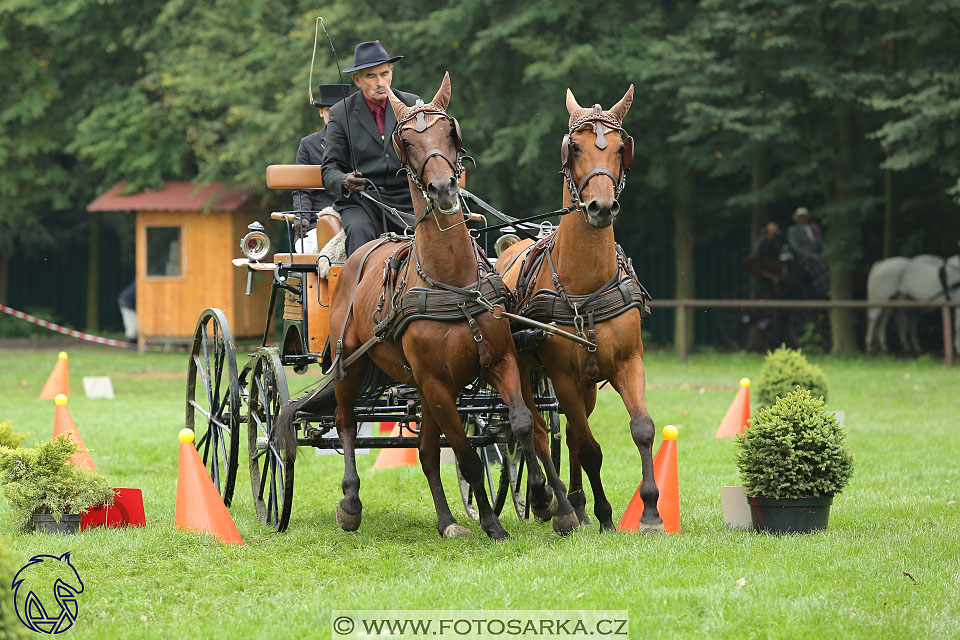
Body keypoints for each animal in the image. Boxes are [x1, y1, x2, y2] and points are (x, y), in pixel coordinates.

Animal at [278, 71, 576, 540]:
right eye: (406, 141)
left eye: (450, 132)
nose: (442, 188)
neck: (453, 283)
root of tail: (363, 253)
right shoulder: (436, 383)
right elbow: (467, 455)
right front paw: (492, 524)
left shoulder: (500, 361)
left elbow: (522, 424)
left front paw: (550, 502)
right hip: (351, 366)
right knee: (345, 424)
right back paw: (351, 503)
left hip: (417, 384)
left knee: (426, 448)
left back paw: (447, 520)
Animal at [498, 87, 664, 532]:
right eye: (574, 146)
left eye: (622, 147)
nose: (601, 207)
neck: (584, 283)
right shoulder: (563, 376)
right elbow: (588, 448)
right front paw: (600, 512)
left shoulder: (628, 361)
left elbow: (642, 429)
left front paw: (650, 512)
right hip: (524, 371)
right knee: (537, 431)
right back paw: (554, 505)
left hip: (587, 383)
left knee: (569, 432)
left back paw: (576, 502)